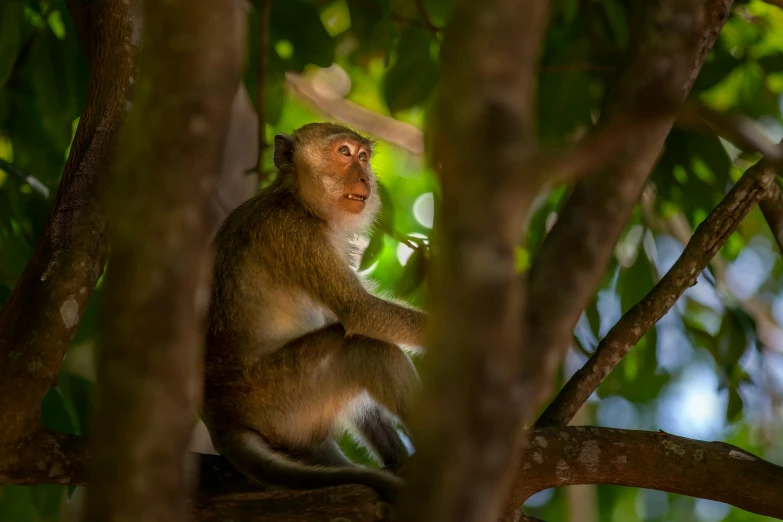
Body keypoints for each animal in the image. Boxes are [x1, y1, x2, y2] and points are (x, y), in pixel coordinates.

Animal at [199, 121, 426, 500]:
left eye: (363, 157)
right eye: (344, 153)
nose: (364, 177)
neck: (298, 202)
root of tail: (221, 417)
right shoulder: (296, 236)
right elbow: (362, 314)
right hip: (283, 398)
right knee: (364, 350)